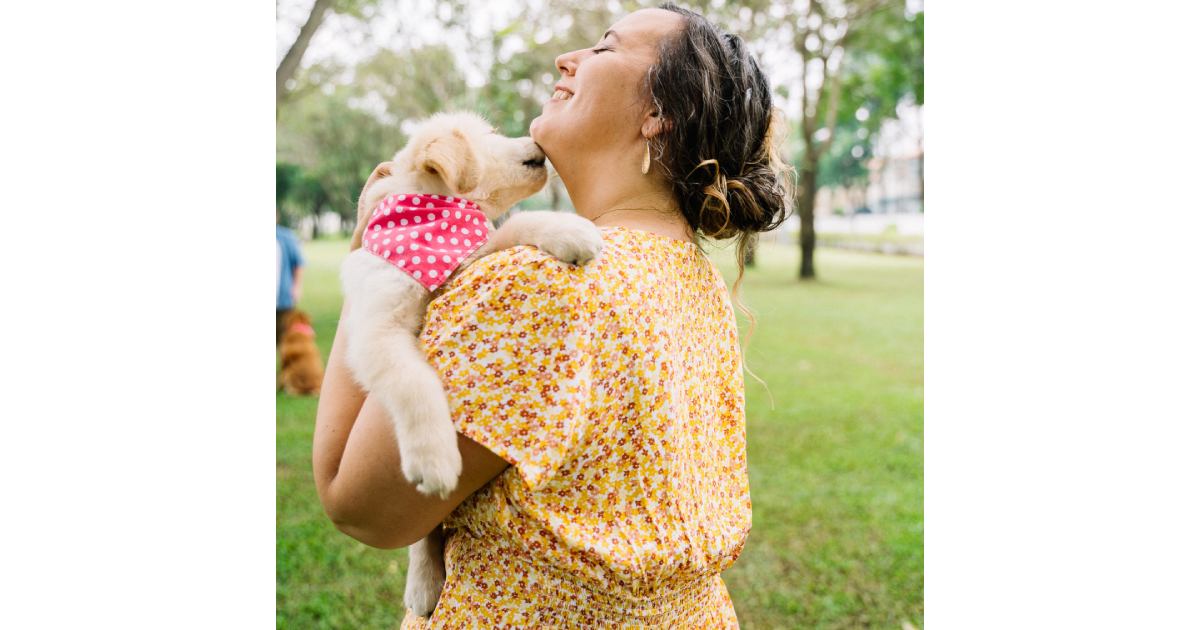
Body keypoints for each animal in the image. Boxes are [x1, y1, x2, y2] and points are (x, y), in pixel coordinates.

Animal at [338, 110, 604, 614]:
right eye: (492, 135)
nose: (535, 135)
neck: (433, 222)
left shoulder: (472, 255)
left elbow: (512, 229)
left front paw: (569, 230)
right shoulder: (377, 333)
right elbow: (415, 383)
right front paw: (435, 458)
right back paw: (423, 582)